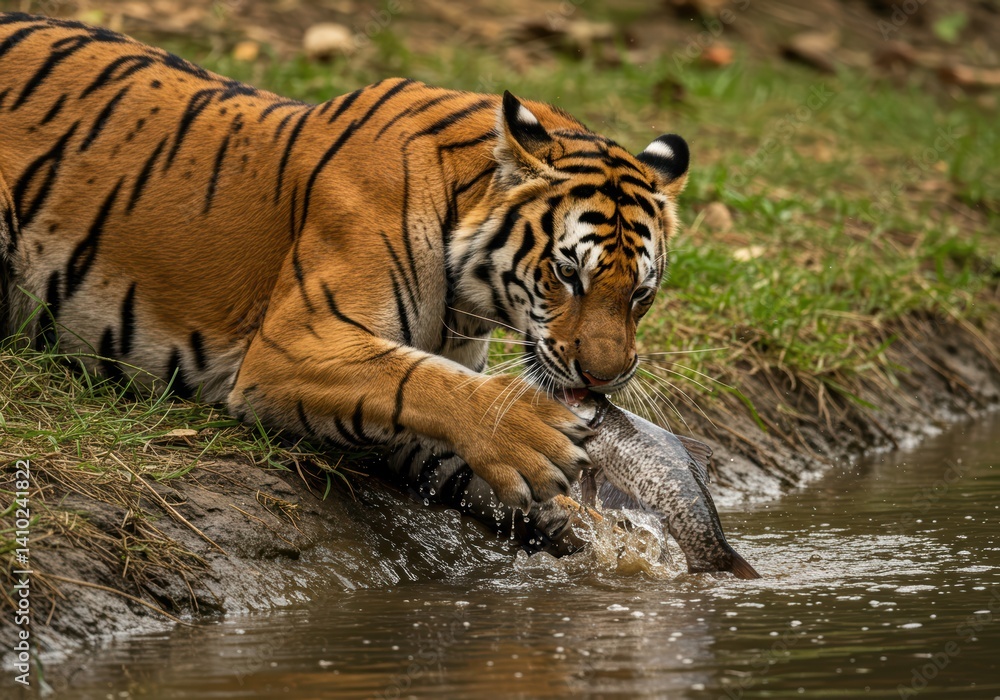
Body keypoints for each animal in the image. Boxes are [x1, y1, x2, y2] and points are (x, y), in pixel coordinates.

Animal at [0, 12, 689, 528]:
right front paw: (530, 434)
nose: (604, 379)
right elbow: (419, 379)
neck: (466, 303)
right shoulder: (290, 345)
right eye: (568, 274)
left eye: (641, 295)